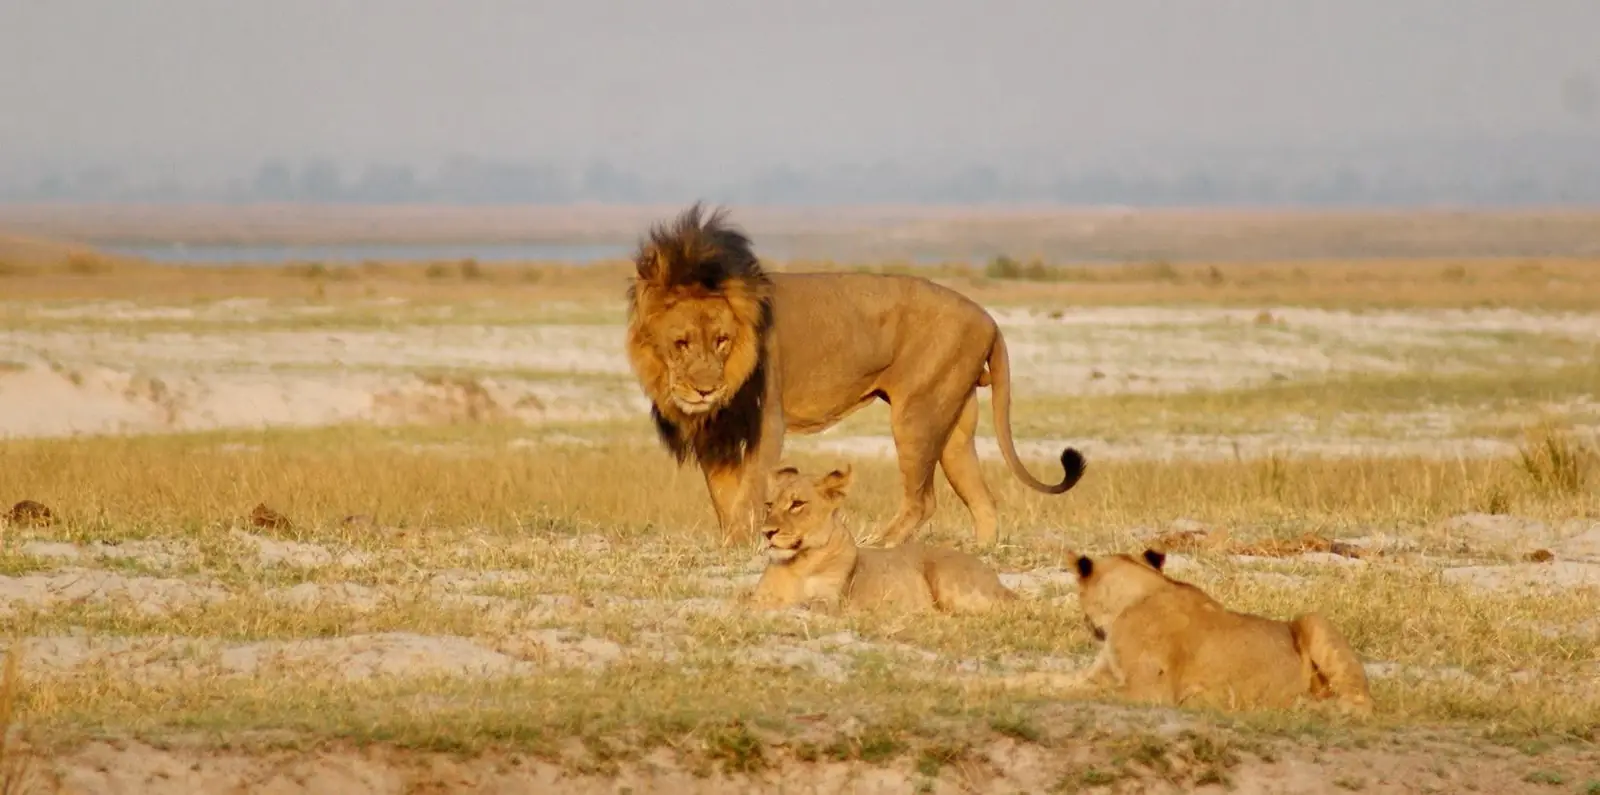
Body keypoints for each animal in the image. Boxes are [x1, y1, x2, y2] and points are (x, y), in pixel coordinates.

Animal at [624, 203, 1086, 546]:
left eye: (721, 340)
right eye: (681, 343)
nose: (706, 390)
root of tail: (989, 319)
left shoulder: (765, 422)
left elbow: (749, 490)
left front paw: (742, 541)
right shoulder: (714, 431)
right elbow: (723, 494)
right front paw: (730, 542)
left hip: (916, 414)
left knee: (923, 500)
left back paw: (878, 546)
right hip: (954, 425)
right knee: (983, 500)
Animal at [748, 465, 1020, 614]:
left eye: (797, 504)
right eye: (769, 505)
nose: (766, 532)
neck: (797, 564)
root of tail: (994, 576)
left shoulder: (830, 603)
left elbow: (797, 605)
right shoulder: (760, 595)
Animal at [1042, 548, 1373, 715]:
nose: (1090, 628)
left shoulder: (1150, 691)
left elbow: (1083, 693)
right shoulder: (1099, 674)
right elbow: (1047, 679)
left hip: (1313, 620)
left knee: (1360, 704)